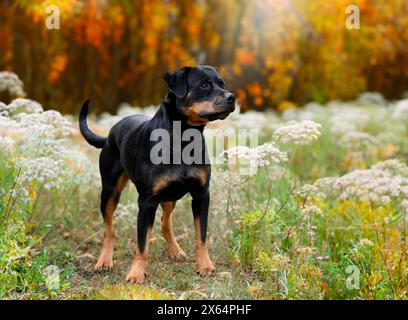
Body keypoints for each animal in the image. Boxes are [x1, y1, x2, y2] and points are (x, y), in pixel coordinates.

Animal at [79, 65, 236, 282]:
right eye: (204, 84)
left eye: (222, 84)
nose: (232, 97)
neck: (182, 139)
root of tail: (110, 134)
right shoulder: (147, 201)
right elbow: (142, 243)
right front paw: (136, 274)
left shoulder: (201, 194)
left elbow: (201, 236)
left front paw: (205, 266)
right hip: (110, 191)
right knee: (109, 230)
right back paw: (104, 260)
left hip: (169, 195)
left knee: (165, 223)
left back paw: (175, 250)